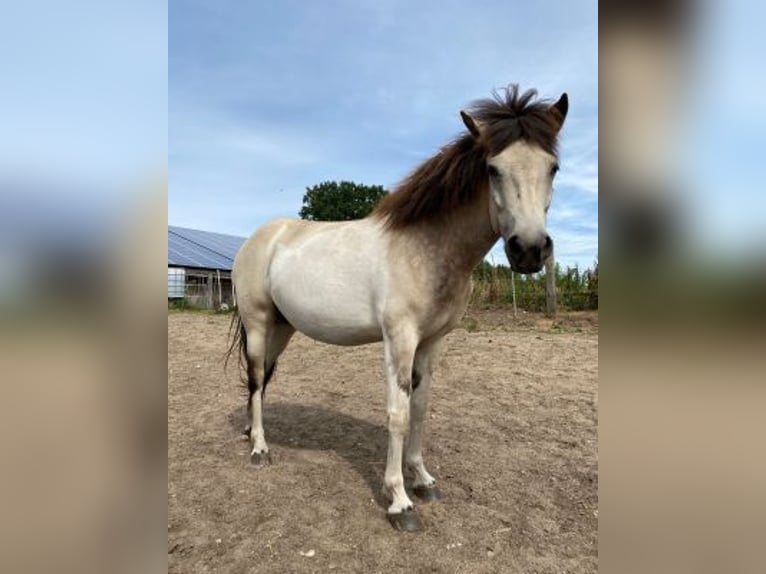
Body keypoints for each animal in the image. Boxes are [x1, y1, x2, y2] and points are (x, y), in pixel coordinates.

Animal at [225, 86, 568, 536]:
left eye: (553, 168)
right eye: (493, 168)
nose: (528, 250)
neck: (425, 248)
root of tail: (259, 238)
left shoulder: (433, 341)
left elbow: (420, 409)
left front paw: (422, 479)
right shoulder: (399, 339)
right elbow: (399, 414)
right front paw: (400, 501)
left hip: (282, 328)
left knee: (263, 379)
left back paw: (251, 432)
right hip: (259, 323)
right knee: (254, 380)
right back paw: (260, 449)